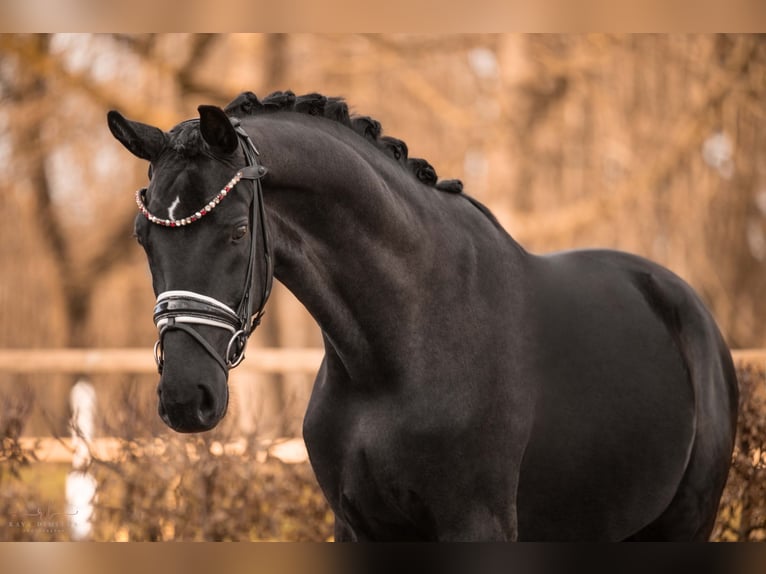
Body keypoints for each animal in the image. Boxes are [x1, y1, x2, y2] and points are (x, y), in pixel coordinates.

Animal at [107, 90, 738, 541]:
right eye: (143, 237)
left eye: (237, 230)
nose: (185, 398)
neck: (404, 347)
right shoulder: (358, 526)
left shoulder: (476, 525)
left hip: (686, 522)